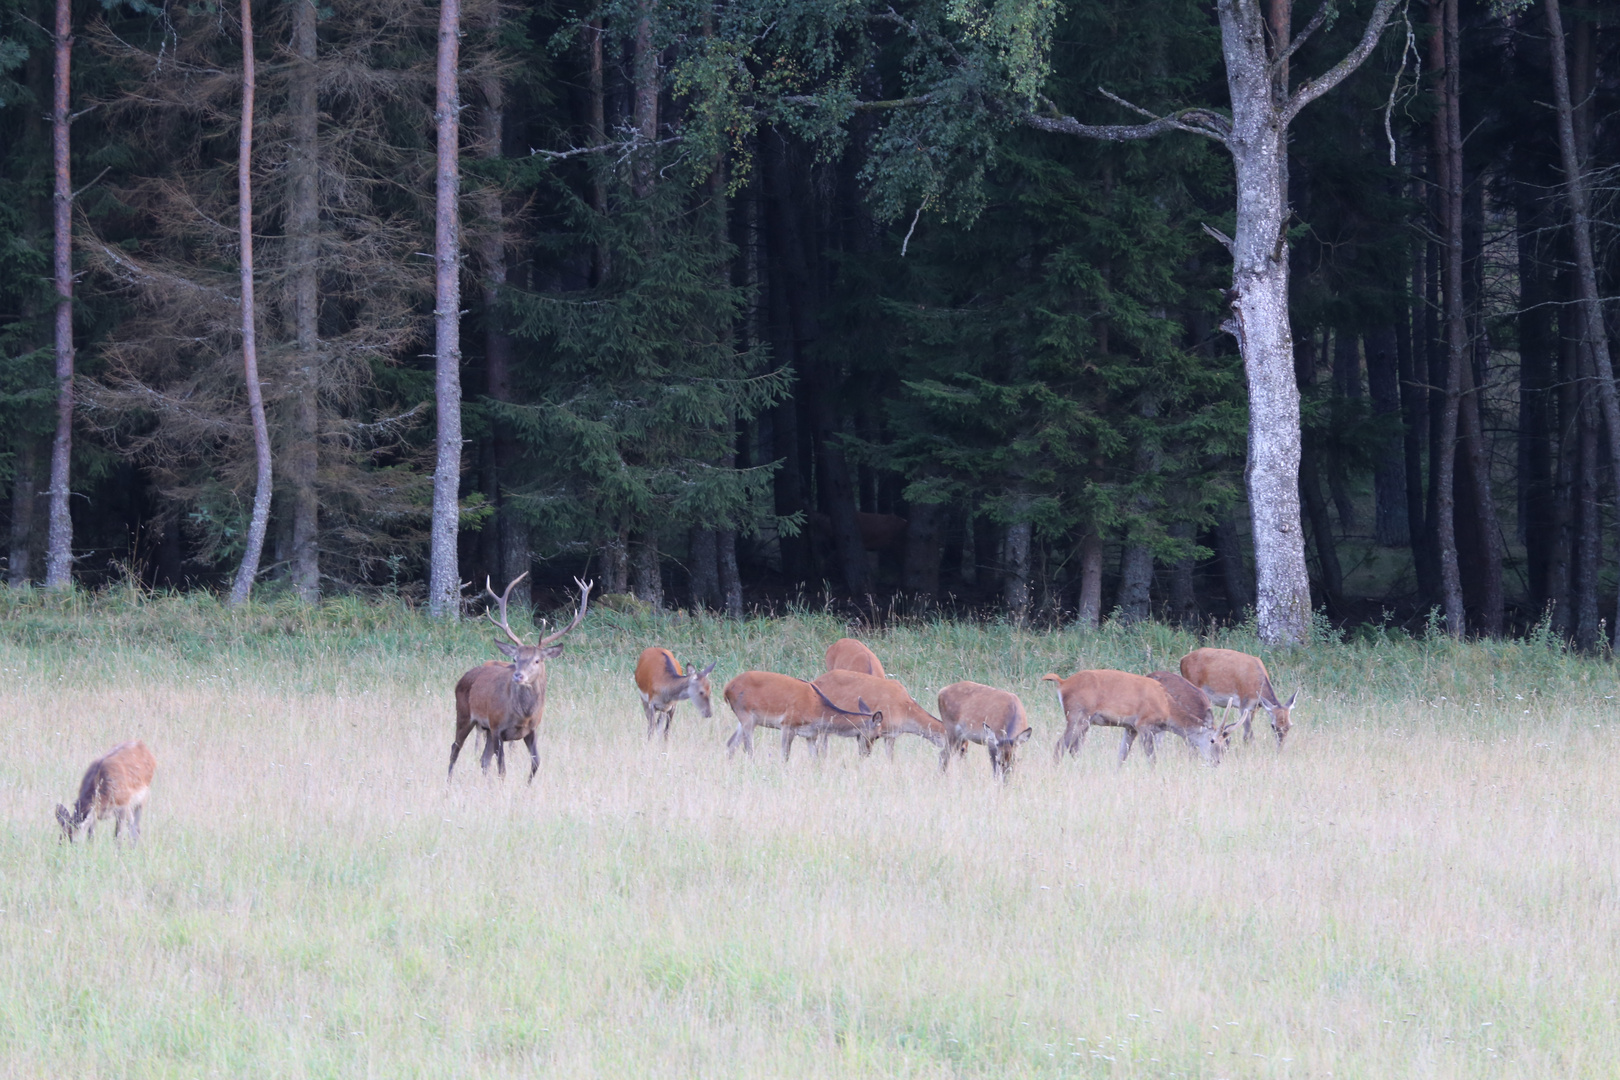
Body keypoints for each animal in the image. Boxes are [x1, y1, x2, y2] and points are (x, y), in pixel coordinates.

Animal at [447, 573, 592, 786]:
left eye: (537, 660)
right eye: (515, 659)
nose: (518, 675)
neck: (523, 714)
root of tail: (462, 678)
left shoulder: (531, 730)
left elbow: (536, 762)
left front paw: (528, 786)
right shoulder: (497, 727)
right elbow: (502, 768)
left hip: (485, 728)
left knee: (483, 759)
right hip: (465, 715)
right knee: (455, 749)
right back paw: (448, 783)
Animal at [725, 667, 881, 761]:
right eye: (877, 735)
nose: (867, 754)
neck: (816, 712)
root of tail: (726, 689)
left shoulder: (811, 735)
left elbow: (815, 759)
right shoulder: (787, 724)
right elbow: (785, 756)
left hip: (747, 719)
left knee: (731, 744)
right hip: (745, 714)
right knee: (748, 748)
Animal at [1043, 670, 1231, 764]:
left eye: (1226, 744)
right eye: (1212, 741)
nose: (1217, 762)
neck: (1167, 709)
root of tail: (1062, 683)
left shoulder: (1130, 727)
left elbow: (1121, 756)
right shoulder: (1144, 724)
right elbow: (1152, 759)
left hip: (1084, 721)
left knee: (1073, 748)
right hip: (1078, 715)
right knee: (1060, 746)